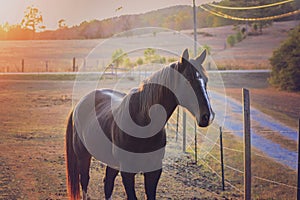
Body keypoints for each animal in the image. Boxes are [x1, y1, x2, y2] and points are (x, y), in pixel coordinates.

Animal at [66, 48, 216, 200]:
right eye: (187, 82)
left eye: (206, 80)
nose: (207, 116)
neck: (142, 123)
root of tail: (80, 103)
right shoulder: (127, 172)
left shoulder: (154, 172)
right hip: (83, 156)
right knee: (85, 182)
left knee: (108, 184)